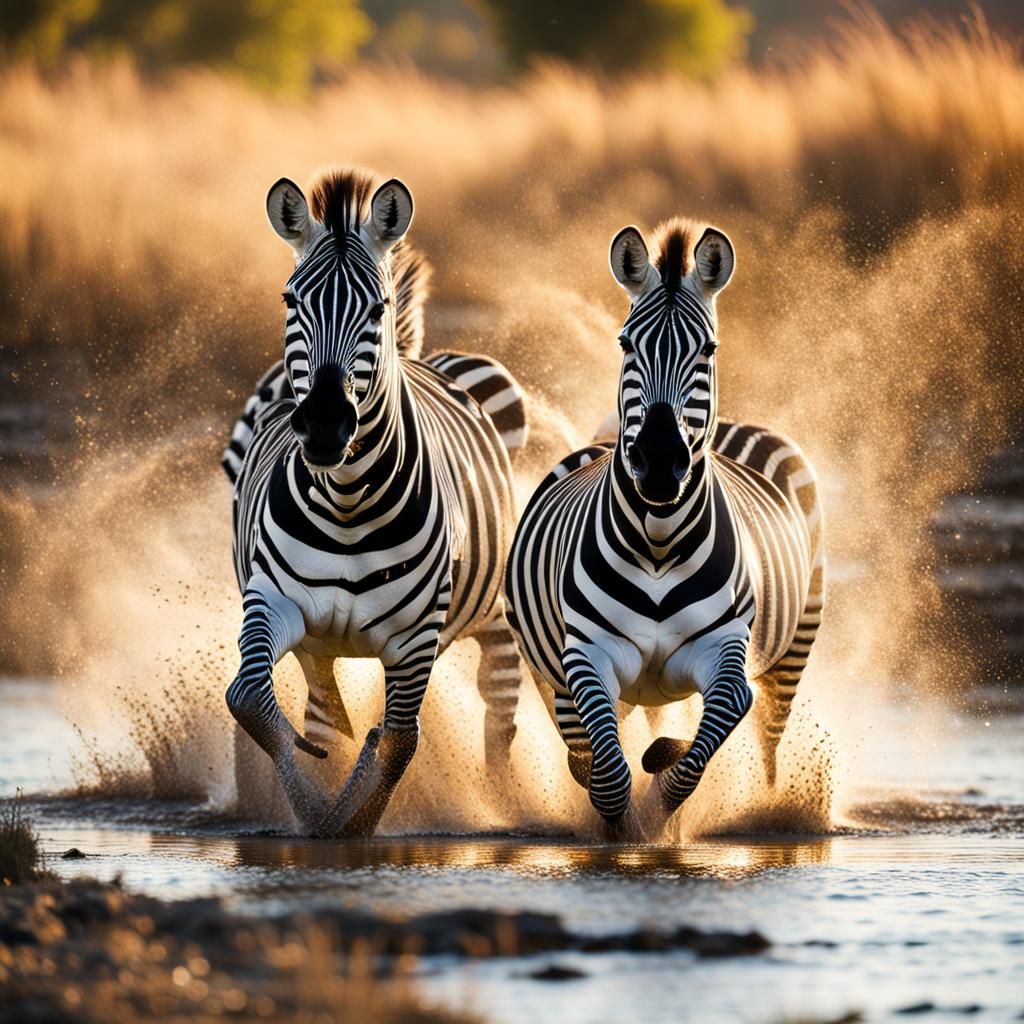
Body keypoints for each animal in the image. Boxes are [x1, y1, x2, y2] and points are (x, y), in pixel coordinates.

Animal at [225, 167, 526, 836]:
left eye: (377, 306)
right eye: (291, 301)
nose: (325, 425)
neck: (346, 502)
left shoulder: (415, 638)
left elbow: (399, 740)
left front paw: (352, 823)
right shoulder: (274, 600)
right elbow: (251, 699)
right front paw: (314, 809)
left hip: (493, 614)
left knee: (499, 707)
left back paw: (503, 800)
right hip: (317, 644)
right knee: (321, 708)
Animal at [504, 218, 825, 840]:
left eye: (709, 349)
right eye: (627, 344)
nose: (656, 462)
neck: (658, 541)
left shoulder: (725, 651)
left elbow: (704, 741)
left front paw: (659, 806)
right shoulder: (587, 656)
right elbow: (607, 772)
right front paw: (621, 827)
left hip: (797, 642)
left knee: (766, 737)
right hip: (551, 669)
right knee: (581, 743)